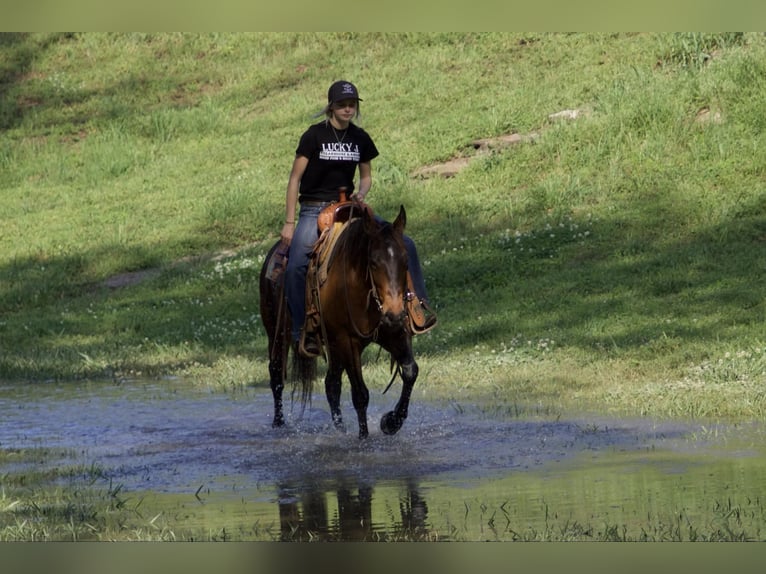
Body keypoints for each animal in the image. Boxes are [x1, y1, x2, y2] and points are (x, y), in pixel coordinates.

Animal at [262, 205, 420, 438]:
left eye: (405, 261)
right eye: (373, 262)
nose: (394, 313)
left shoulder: (394, 332)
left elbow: (410, 371)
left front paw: (390, 422)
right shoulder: (348, 341)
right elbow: (360, 394)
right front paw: (364, 438)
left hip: (333, 345)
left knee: (331, 384)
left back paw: (340, 428)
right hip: (276, 333)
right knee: (276, 375)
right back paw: (278, 423)